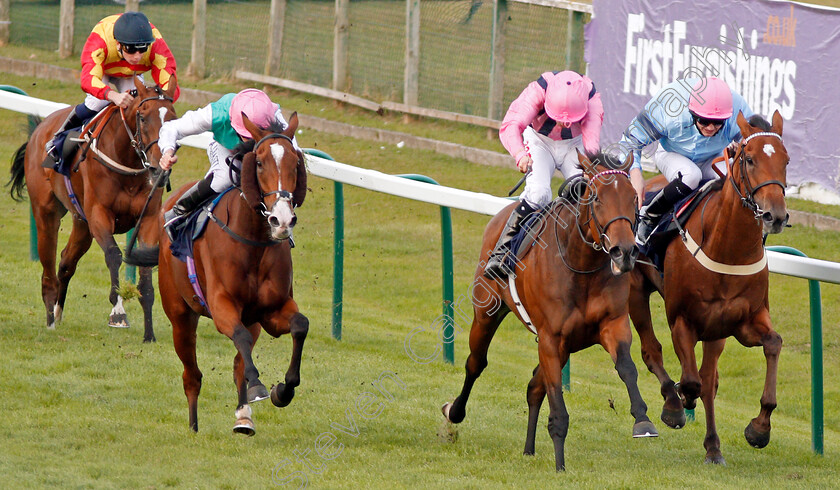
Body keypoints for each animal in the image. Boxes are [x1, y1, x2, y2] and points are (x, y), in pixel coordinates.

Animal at [6, 77, 178, 344]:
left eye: (172, 117)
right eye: (142, 116)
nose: (160, 167)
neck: (126, 161)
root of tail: (40, 130)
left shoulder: (148, 219)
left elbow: (146, 276)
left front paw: (149, 334)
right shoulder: (99, 214)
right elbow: (114, 255)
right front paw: (118, 312)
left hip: (82, 224)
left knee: (66, 260)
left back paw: (58, 313)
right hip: (47, 213)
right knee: (48, 268)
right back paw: (50, 320)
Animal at [158, 113, 308, 434]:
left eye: (295, 163)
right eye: (259, 162)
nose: (282, 220)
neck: (253, 241)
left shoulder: (270, 311)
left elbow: (300, 325)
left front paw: (282, 390)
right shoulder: (221, 305)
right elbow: (237, 335)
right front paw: (260, 385)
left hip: (252, 319)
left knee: (240, 363)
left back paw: (244, 417)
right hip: (180, 315)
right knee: (192, 374)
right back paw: (193, 427)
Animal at [440, 152, 656, 470]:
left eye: (633, 197)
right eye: (597, 197)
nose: (625, 252)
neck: (581, 266)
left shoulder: (611, 325)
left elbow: (627, 368)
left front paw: (643, 420)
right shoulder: (551, 339)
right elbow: (557, 405)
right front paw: (560, 465)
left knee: (533, 386)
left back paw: (528, 449)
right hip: (487, 313)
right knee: (476, 363)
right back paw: (454, 411)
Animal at [632, 110, 788, 464]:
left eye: (786, 160)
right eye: (749, 158)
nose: (776, 215)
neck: (728, 250)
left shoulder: (741, 322)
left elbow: (773, 343)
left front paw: (759, 429)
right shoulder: (682, 319)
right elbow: (690, 381)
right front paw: (679, 403)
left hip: (716, 331)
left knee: (708, 378)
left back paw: (713, 446)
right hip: (635, 290)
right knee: (652, 351)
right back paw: (673, 404)